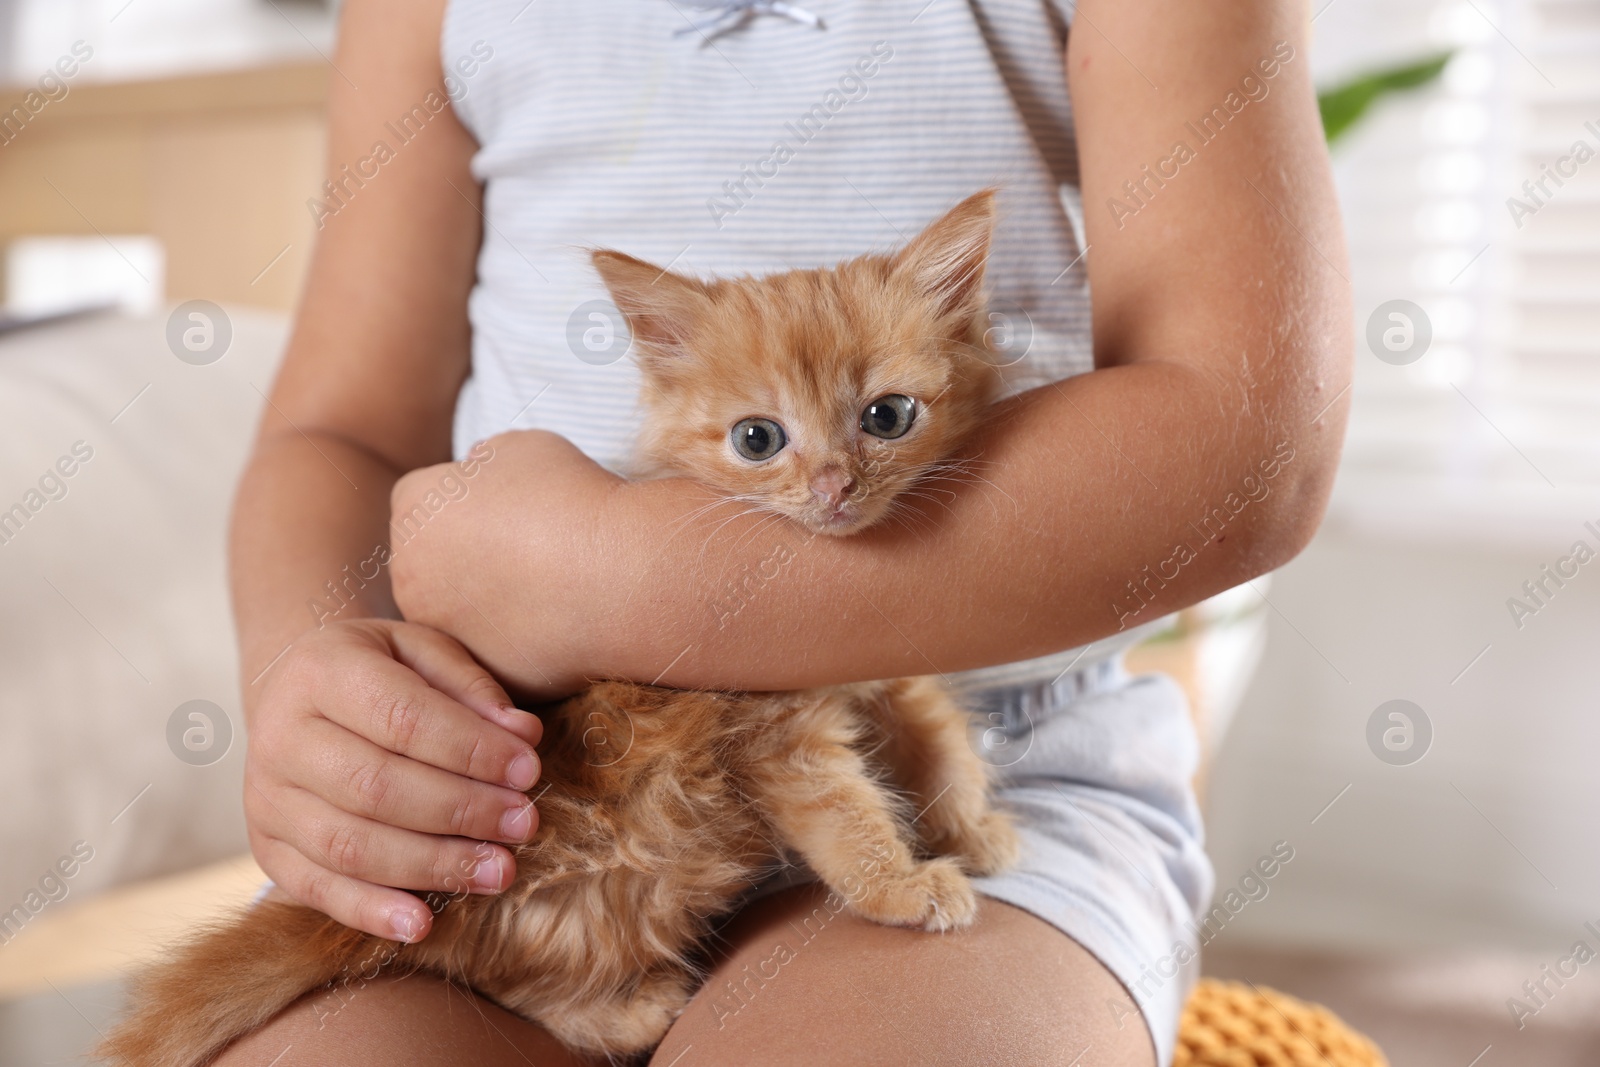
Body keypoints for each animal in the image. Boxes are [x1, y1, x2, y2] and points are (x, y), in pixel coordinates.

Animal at [106, 187, 1017, 1062]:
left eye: (887, 417)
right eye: (758, 438)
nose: (834, 487)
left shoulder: (890, 668)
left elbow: (939, 738)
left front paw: (972, 826)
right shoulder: (774, 731)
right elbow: (845, 811)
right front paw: (902, 884)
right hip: (596, 887)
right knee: (498, 981)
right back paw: (635, 1010)